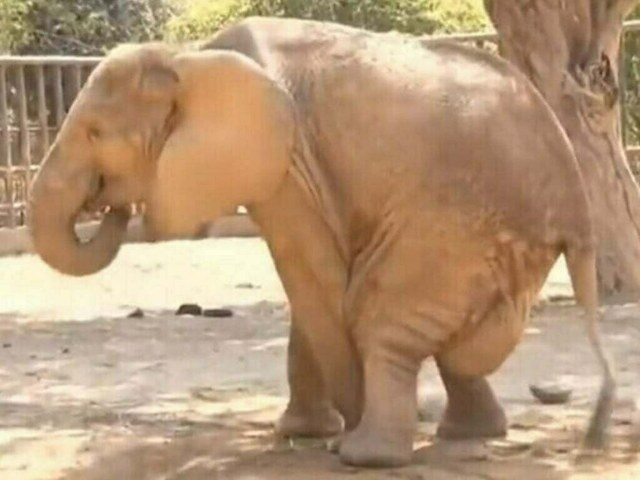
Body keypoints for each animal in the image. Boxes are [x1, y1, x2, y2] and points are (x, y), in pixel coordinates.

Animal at [29, 17, 615, 468]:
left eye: (96, 134)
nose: (110, 203)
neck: (187, 58)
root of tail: (579, 209)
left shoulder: (287, 164)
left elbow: (315, 280)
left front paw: (336, 432)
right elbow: (308, 288)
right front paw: (304, 433)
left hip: (455, 222)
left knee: (379, 313)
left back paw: (367, 455)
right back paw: (467, 434)